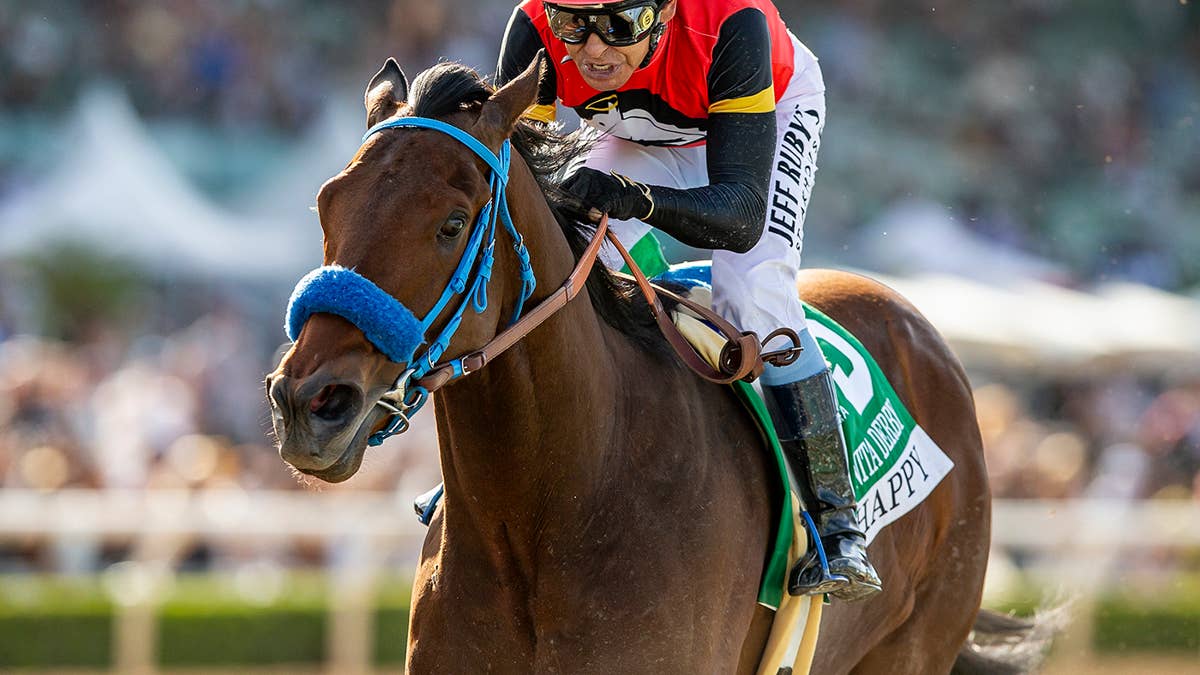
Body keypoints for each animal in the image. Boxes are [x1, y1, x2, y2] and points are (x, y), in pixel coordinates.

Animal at [266, 55, 1046, 674]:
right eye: (326, 204)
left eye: (451, 224)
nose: (309, 404)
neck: (552, 509)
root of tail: (922, 334)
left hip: (915, 642)